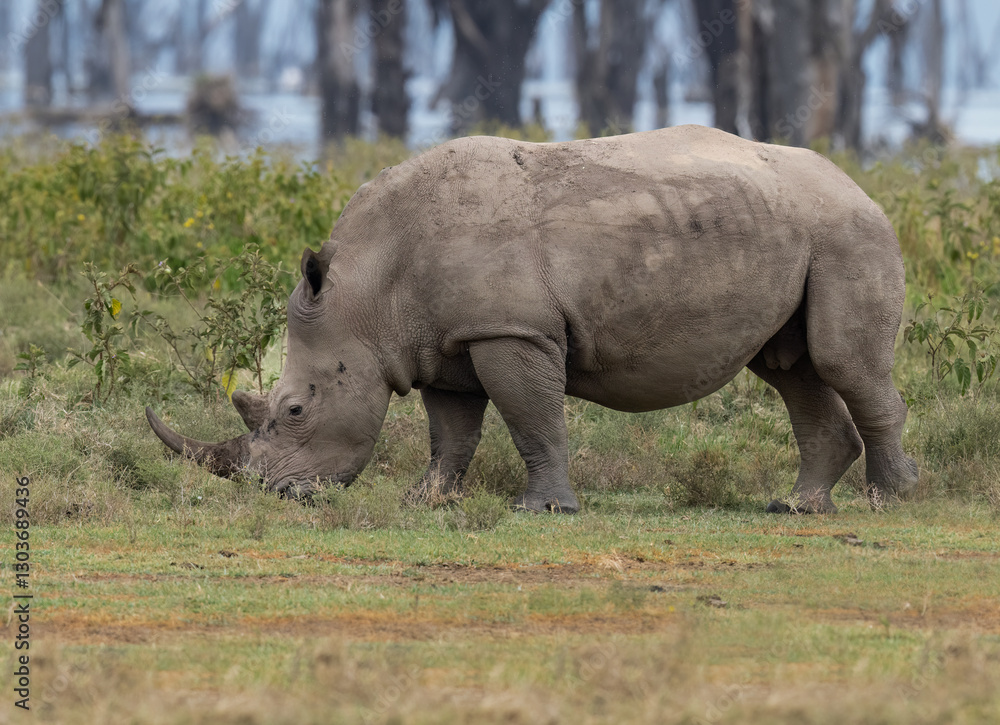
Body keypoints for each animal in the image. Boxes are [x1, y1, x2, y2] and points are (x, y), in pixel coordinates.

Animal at [146, 125, 918, 514]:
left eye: (296, 410)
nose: (274, 493)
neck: (367, 296)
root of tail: (860, 183)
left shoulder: (511, 329)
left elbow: (531, 417)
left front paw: (542, 511)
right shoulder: (445, 342)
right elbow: (452, 431)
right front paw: (426, 502)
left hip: (848, 231)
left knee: (842, 361)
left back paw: (890, 501)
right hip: (798, 229)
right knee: (791, 368)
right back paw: (798, 508)